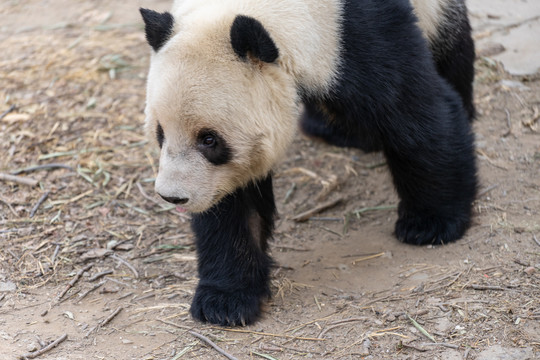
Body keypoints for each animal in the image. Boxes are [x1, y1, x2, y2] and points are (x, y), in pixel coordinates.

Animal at [138, 0, 476, 326]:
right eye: (160, 133)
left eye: (209, 140)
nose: (172, 196)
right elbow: (231, 201)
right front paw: (225, 300)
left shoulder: (358, 36)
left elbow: (417, 115)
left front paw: (430, 223)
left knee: (449, 46)